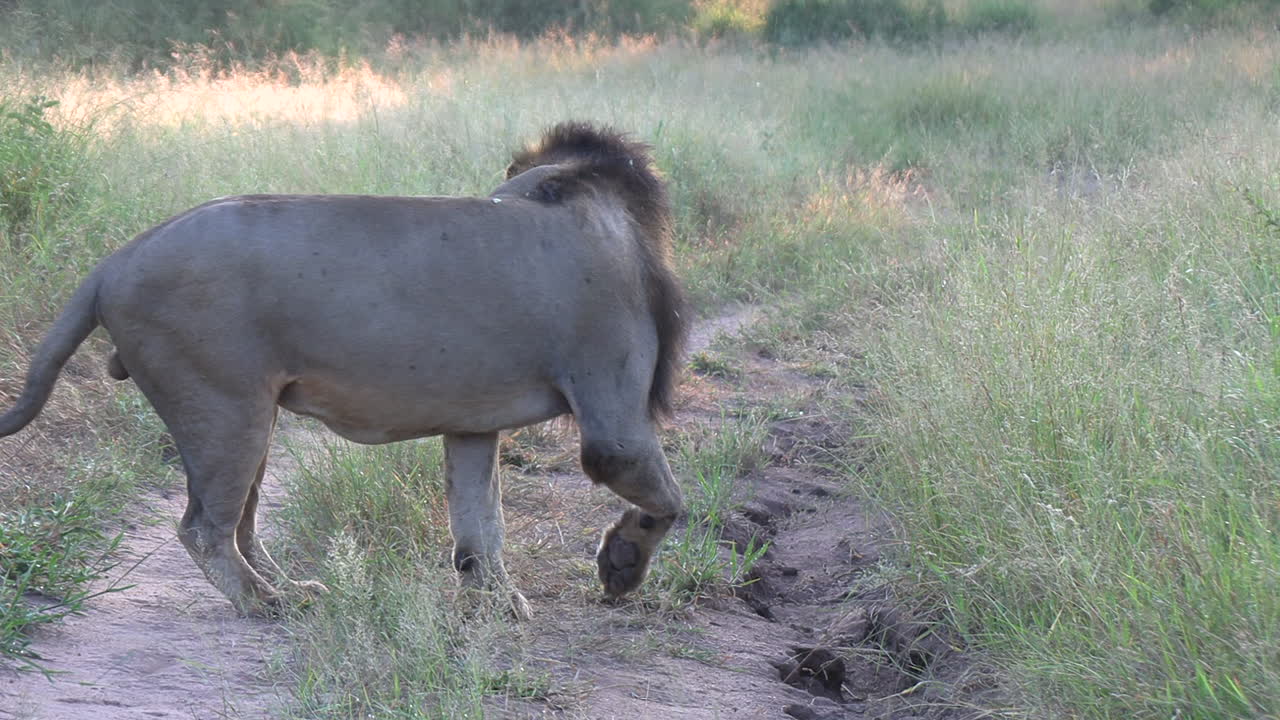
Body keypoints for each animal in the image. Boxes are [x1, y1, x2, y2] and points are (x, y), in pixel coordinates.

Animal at [0, 122, 688, 619]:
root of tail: (113, 262)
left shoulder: (472, 424)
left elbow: (480, 519)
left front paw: (495, 602)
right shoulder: (615, 426)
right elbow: (668, 502)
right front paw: (621, 566)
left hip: (245, 415)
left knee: (240, 522)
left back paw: (293, 587)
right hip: (226, 408)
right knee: (203, 528)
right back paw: (266, 603)